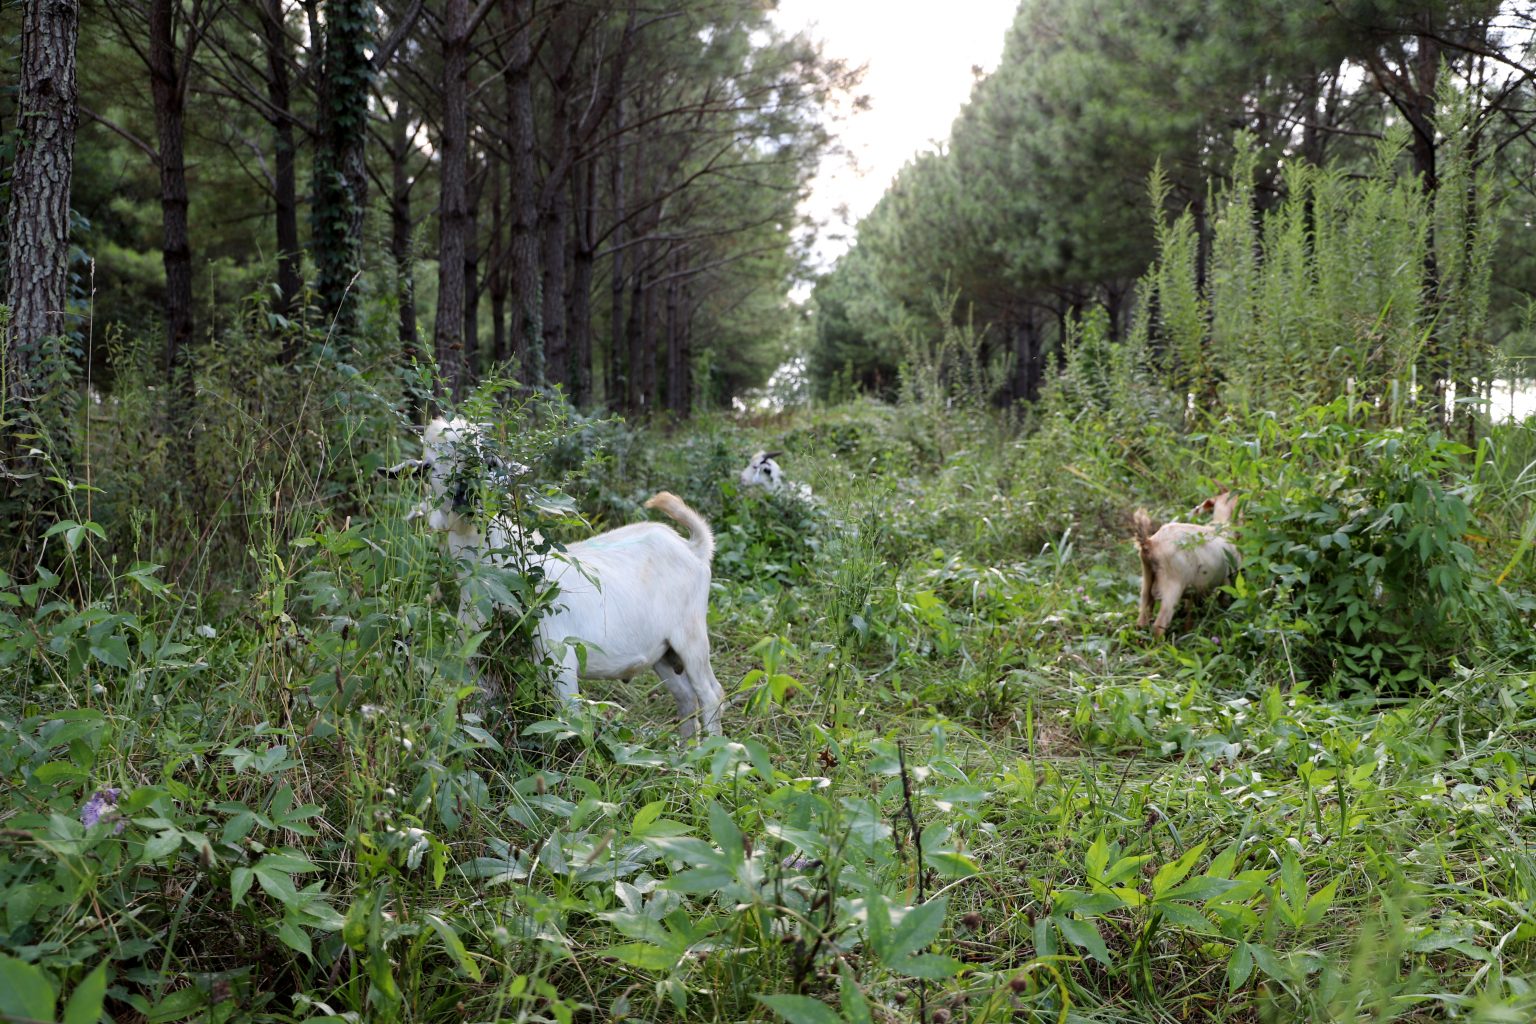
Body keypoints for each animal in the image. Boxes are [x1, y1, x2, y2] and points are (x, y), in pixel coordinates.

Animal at [389, 418, 725, 738]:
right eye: (428, 466)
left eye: (488, 461)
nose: (464, 496)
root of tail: (692, 547)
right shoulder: (477, 661)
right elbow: (482, 714)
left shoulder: (561, 659)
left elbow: (569, 723)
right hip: (663, 652)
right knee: (685, 696)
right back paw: (687, 751)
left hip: (691, 636)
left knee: (710, 693)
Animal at [1132, 490, 1241, 639]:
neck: (1222, 526)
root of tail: (1149, 543)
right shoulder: (1228, 578)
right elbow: (1225, 601)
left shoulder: (1193, 589)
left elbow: (1189, 612)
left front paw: (1188, 631)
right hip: (1172, 585)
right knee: (1158, 626)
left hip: (1147, 581)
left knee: (1141, 623)